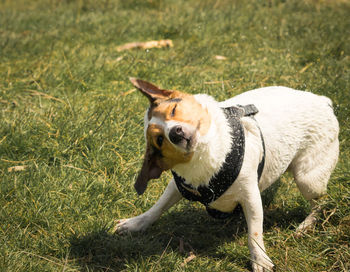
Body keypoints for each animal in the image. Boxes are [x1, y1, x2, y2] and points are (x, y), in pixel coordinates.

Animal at [115, 77, 340, 270]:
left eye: (173, 109)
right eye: (160, 140)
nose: (175, 132)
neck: (208, 156)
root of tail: (322, 101)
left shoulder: (250, 196)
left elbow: (254, 232)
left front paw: (259, 259)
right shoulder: (177, 186)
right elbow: (158, 207)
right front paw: (137, 223)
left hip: (307, 179)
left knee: (322, 204)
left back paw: (305, 226)